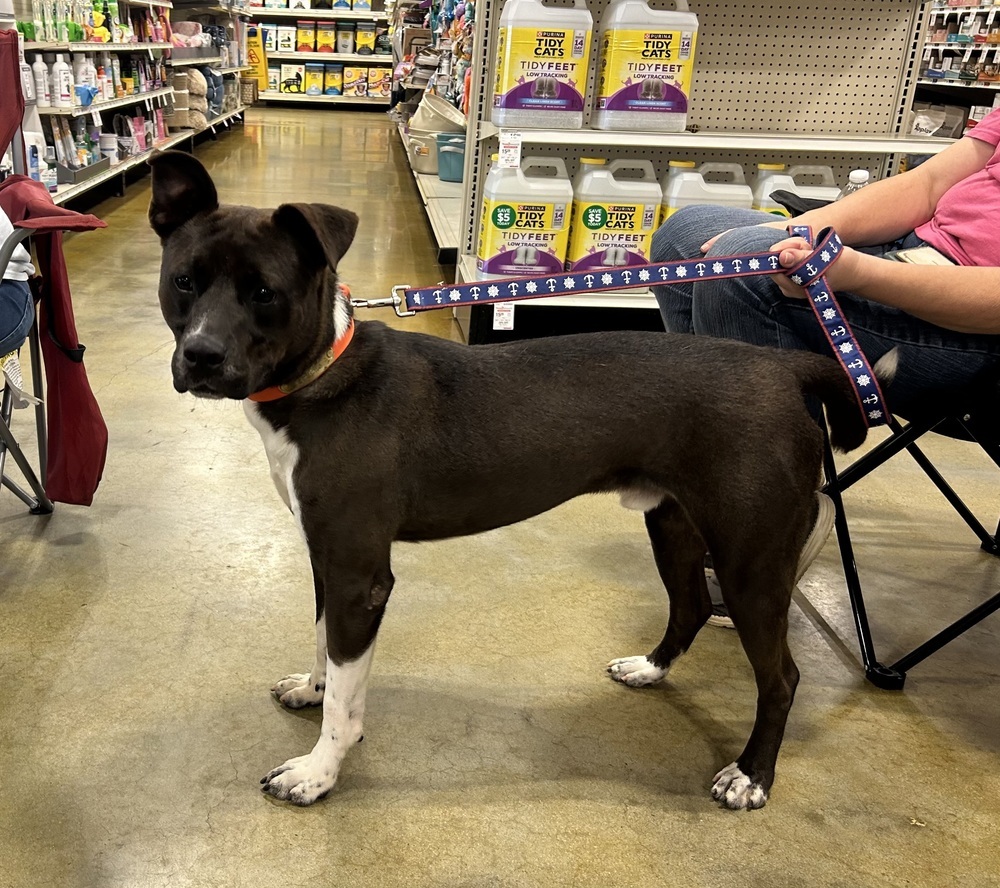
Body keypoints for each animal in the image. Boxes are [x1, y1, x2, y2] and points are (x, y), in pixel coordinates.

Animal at [146, 151, 868, 812]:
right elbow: (325, 646)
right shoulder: (326, 557)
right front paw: (313, 687)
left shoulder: (358, 575)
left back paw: (751, 775)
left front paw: (319, 770)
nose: (201, 356)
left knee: (781, 678)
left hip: (751, 561)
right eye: (183, 281)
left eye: (264, 291)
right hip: (675, 523)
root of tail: (786, 367)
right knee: (689, 607)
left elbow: (346, 701)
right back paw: (649, 669)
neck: (323, 376)